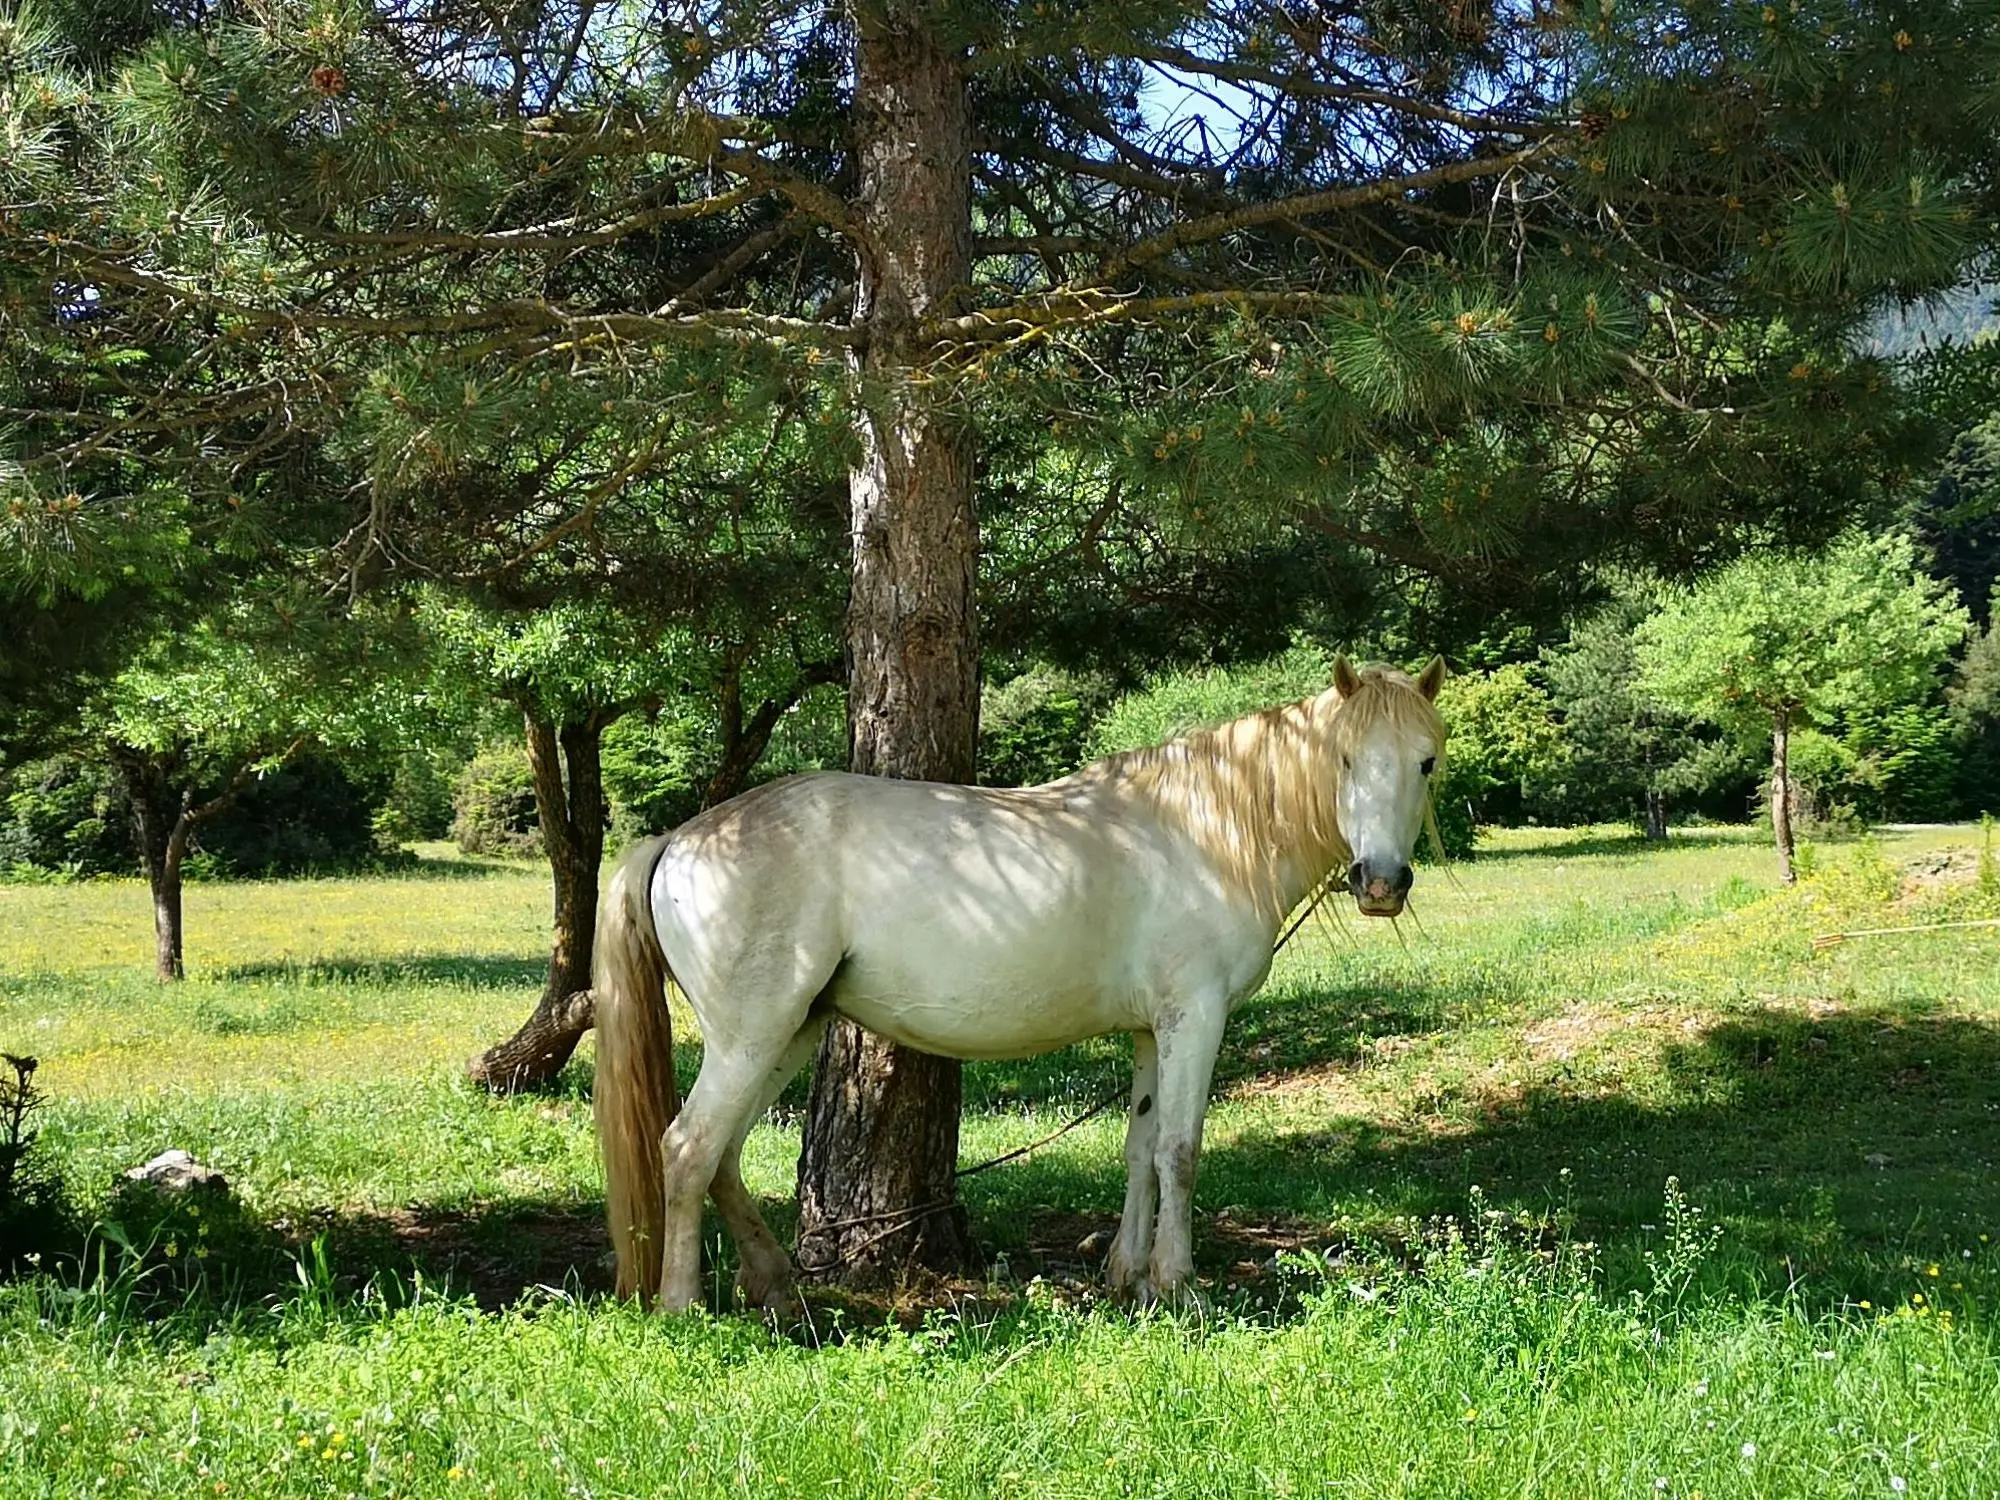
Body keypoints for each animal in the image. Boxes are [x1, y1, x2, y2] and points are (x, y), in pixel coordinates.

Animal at [584, 656, 1448, 1312]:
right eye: (1345, 759)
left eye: (1426, 761)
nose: (1380, 882)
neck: (1204, 831)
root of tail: (680, 839)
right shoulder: (1194, 1020)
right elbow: (1180, 1150)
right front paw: (1180, 1287)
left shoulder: (1151, 1031)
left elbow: (1140, 1148)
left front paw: (1129, 1279)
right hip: (752, 1035)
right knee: (688, 1149)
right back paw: (682, 1304)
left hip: (789, 1031)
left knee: (722, 1156)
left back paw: (776, 1289)